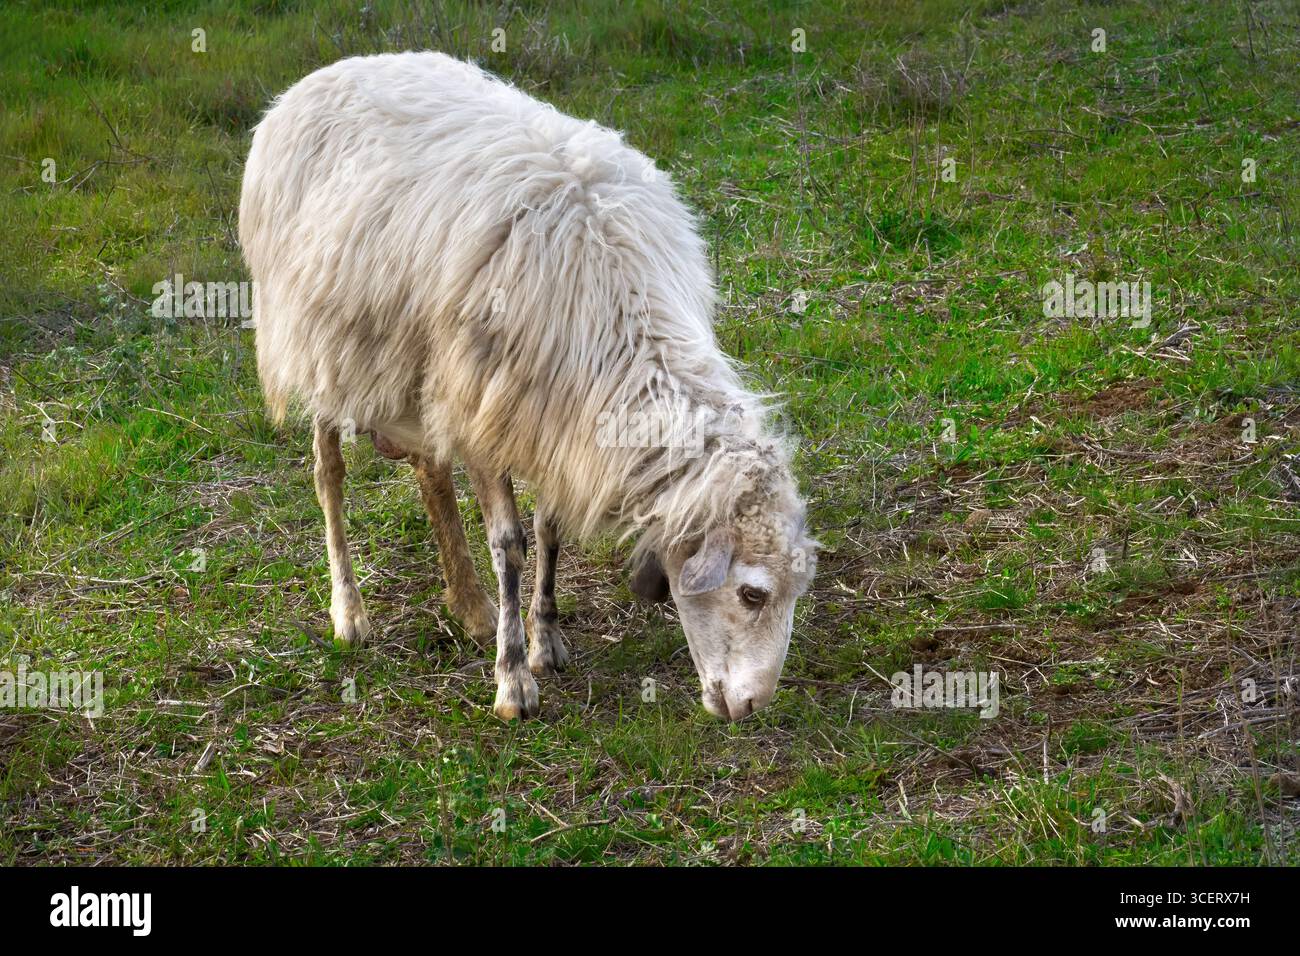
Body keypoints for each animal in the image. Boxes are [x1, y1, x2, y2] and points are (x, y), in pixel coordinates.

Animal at [239, 52, 817, 721]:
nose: (754, 705)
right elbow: (510, 545)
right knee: (327, 474)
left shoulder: (547, 419)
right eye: (752, 594)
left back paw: (469, 604)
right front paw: (513, 680)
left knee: (430, 472)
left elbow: (549, 531)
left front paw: (546, 642)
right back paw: (349, 612)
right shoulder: (486, 411)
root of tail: (322, 75)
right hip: (322, 349)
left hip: (423, 374)